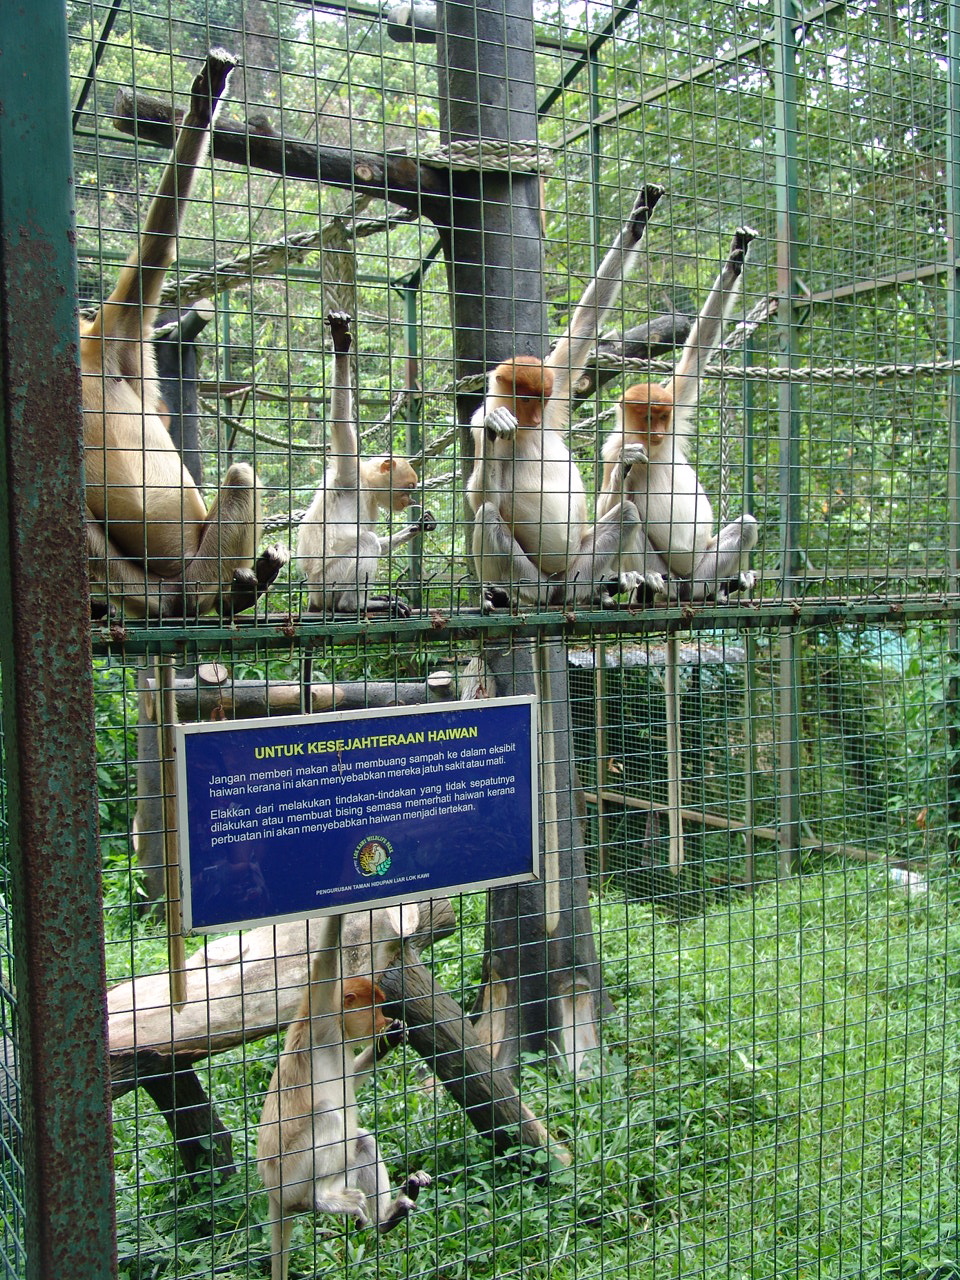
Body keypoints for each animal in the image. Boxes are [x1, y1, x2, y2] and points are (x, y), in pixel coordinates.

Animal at [81, 49, 286, 619]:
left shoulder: (113, 336)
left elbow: (154, 251)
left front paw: (204, 99)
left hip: (203, 546)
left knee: (239, 476)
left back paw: (231, 596)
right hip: (150, 577)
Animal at [258, 914, 431, 1280]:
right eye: (375, 1008)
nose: (383, 1020)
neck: (336, 1031)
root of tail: (273, 1196)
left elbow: (351, 1078)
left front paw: (390, 1039)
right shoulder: (318, 1017)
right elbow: (324, 960)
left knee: (362, 1140)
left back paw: (386, 1218)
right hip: (288, 1177)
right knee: (328, 1116)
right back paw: (321, 1199)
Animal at [297, 312, 435, 617]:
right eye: (409, 487)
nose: (410, 501)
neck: (366, 486)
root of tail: (313, 594)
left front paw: (418, 526)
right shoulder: (349, 474)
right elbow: (340, 423)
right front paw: (340, 346)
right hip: (328, 582)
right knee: (365, 542)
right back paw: (355, 604)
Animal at [465, 182, 666, 610]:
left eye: (541, 399)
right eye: (524, 399)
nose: (537, 419)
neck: (528, 430)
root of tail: (557, 583)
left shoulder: (555, 382)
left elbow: (584, 325)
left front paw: (638, 219)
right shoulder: (475, 419)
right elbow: (481, 497)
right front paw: (495, 425)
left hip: (578, 563)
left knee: (625, 513)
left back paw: (600, 589)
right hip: (532, 575)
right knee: (489, 515)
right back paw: (512, 596)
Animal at [597, 226, 760, 604]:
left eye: (662, 416)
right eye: (647, 417)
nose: (657, 431)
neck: (653, 447)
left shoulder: (676, 401)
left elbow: (697, 351)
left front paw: (735, 257)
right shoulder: (611, 448)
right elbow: (605, 506)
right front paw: (627, 464)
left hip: (703, 564)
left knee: (745, 527)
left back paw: (722, 589)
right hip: (665, 566)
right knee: (632, 517)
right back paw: (653, 585)